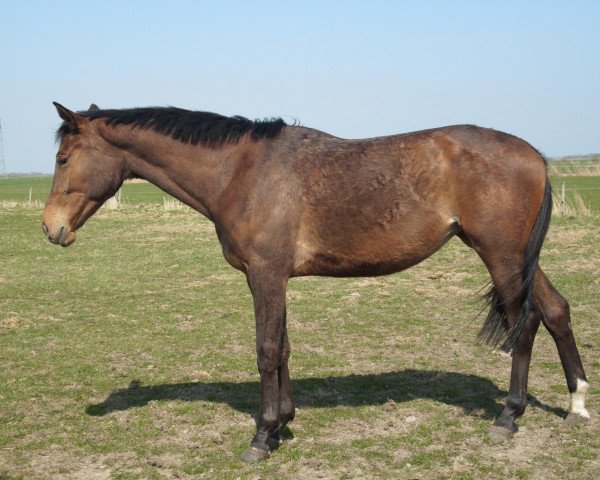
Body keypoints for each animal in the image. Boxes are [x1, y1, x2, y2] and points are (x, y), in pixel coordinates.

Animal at [43, 101, 592, 462]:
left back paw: (509, 417)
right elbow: (283, 348)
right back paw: (578, 404)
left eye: (63, 159)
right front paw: (283, 425)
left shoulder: (266, 275)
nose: (51, 227)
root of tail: (533, 154)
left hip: (502, 257)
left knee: (526, 326)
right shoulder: (273, 278)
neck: (241, 171)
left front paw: (262, 437)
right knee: (555, 310)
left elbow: (266, 349)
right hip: (518, 258)